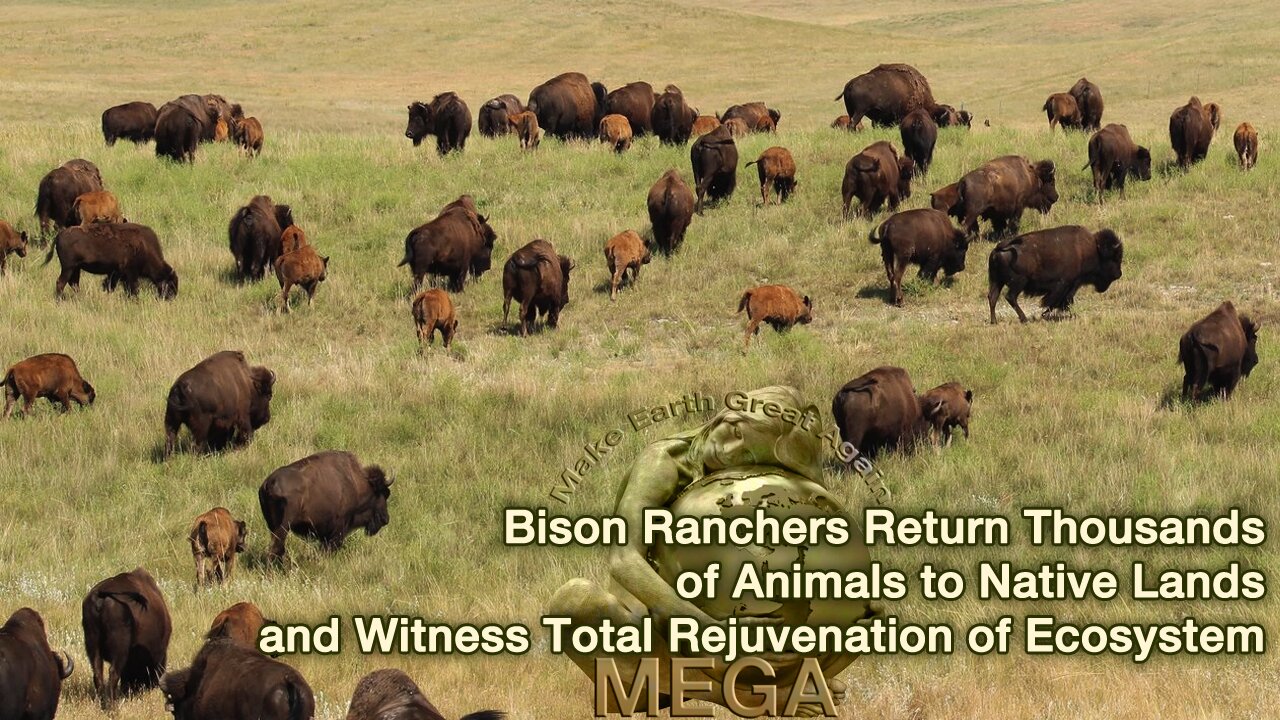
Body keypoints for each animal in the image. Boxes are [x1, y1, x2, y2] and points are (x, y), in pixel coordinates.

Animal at [45, 222, 178, 299]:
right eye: (170, 284)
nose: (171, 298)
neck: (144, 246)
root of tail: (59, 235)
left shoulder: (116, 274)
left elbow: (112, 286)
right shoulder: (130, 273)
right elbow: (133, 288)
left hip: (75, 269)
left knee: (74, 284)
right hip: (68, 268)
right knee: (61, 283)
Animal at [82, 567, 172, 709]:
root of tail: (101, 595)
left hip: (92, 643)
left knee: (98, 674)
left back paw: (102, 703)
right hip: (119, 650)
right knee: (113, 674)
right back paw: (112, 707)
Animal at [259, 450, 393, 565]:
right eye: (384, 493)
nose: (385, 519)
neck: (356, 485)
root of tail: (268, 484)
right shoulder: (338, 530)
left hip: (272, 526)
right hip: (283, 527)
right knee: (276, 548)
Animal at [987, 225, 1123, 324]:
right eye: (1114, 257)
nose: (1119, 274)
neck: (1094, 250)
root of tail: (1001, 247)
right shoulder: (1067, 283)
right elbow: (1058, 300)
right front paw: (1046, 314)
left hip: (996, 281)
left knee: (992, 297)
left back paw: (994, 321)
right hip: (1018, 282)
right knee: (1010, 297)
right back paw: (1024, 319)